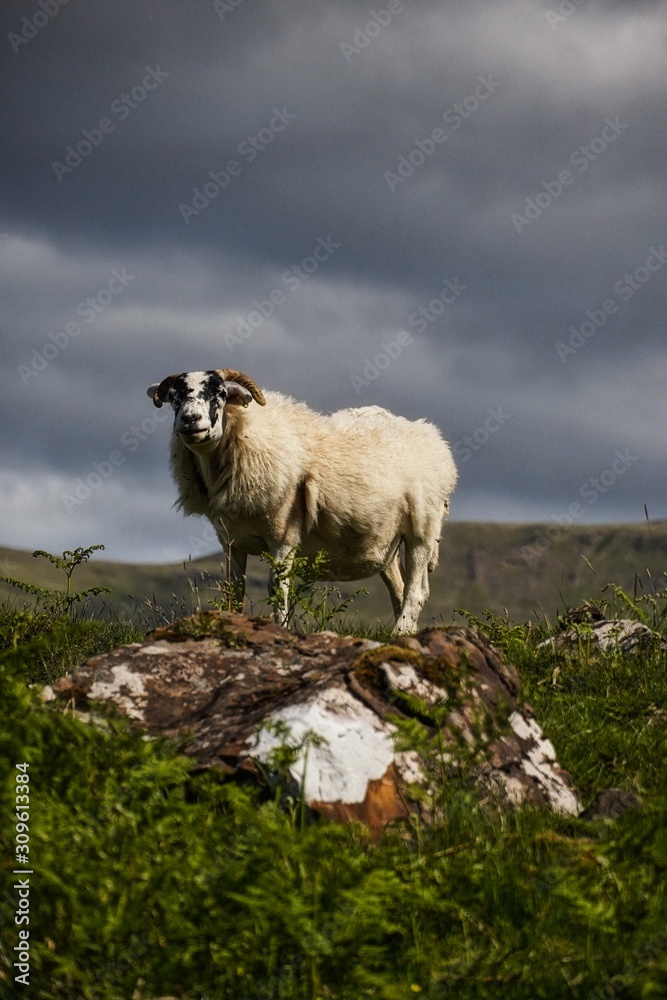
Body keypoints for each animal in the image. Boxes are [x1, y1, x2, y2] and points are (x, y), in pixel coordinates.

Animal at [146, 368, 458, 633]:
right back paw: (404, 635)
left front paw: (281, 629)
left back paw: (399, 633)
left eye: (220, 394)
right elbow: (233, 590)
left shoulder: (283, 536)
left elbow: (278, 589)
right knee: (400, 589)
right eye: (174, 398)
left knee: (416, 591)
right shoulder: (232, 542)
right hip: (387, 544)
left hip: (422, 528)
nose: (190, 420)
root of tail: (435, 441)